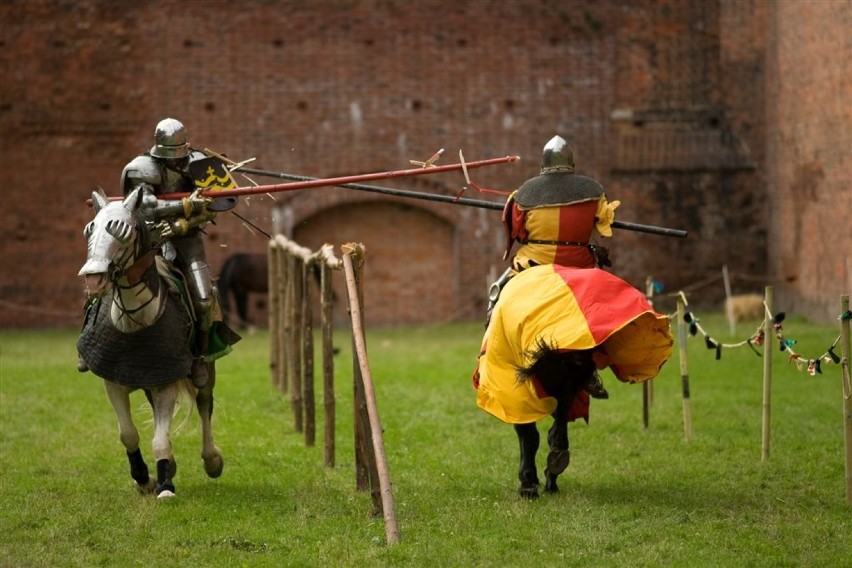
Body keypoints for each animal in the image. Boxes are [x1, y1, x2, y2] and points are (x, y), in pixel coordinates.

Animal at [76, 190, 228, 496]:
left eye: (120, 230)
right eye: (90, 229)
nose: (94, 279)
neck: (134, 319)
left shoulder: (165, 383)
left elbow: (160, 439)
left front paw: (165, 484)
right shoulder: (116, 382)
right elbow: (128, 434)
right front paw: (144, 476)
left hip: (206, 366)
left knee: (204, 401)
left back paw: (211, 460)